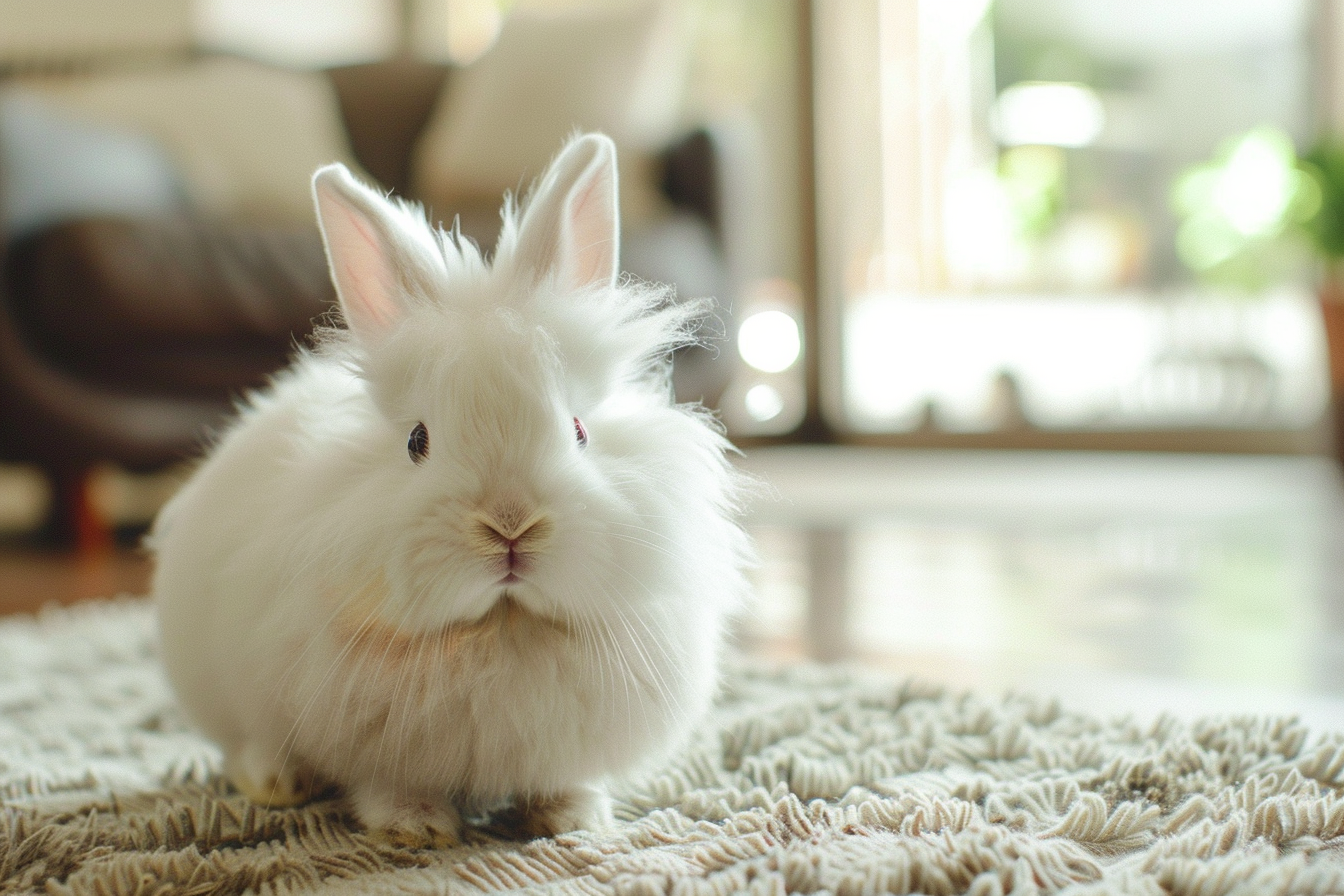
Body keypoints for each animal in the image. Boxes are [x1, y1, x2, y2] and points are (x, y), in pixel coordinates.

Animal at [151, 133, 752, 847]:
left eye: (579, 430)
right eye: (417, 440)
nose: (511, 526)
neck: (500, 629)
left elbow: (564, 782)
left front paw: (571, 820)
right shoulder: (368, 745)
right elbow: (386, 788)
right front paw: (417, 829)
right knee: (247, 744)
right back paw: (277, 782)